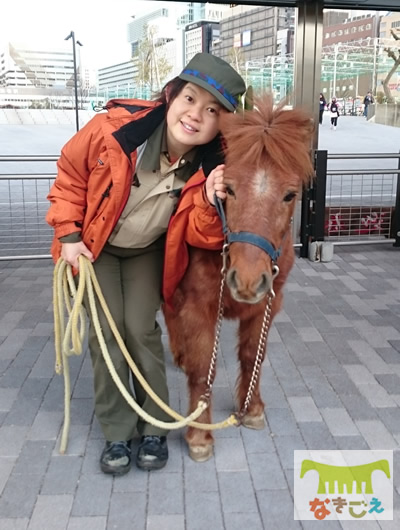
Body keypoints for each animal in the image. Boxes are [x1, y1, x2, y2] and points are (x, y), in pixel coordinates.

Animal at [164, 97, 314, 460]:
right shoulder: (199, 309)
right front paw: (199, 436)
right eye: (227, 189)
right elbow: (202, 369)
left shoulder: (266, 307)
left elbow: (252, 357)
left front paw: (252, 409)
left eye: (290, 195)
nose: (246, 279)